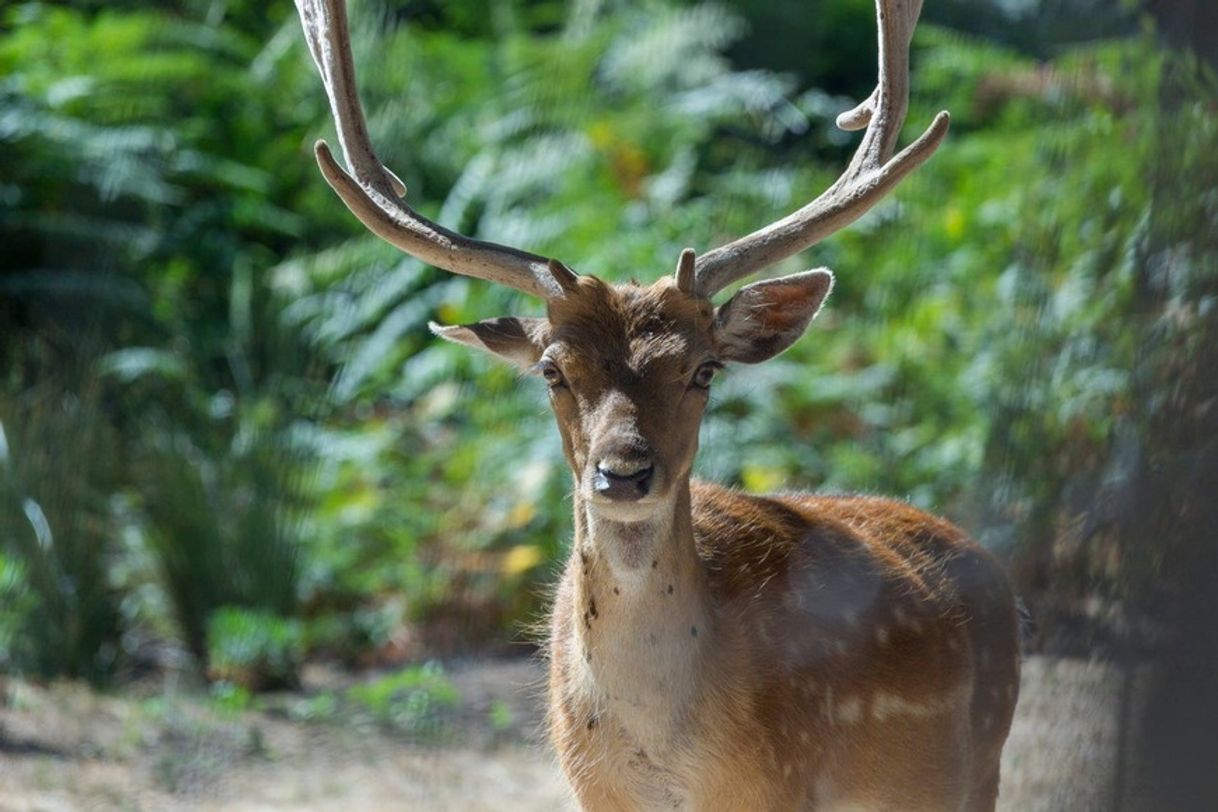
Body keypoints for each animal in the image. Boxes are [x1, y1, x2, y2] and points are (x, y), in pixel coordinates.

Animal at [294, 0, 1018, 808]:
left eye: (704, 370)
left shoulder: (780, 783)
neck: (664, 754)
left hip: (978, 764)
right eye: (551, 370)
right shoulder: (590, 786)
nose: (625, 472)